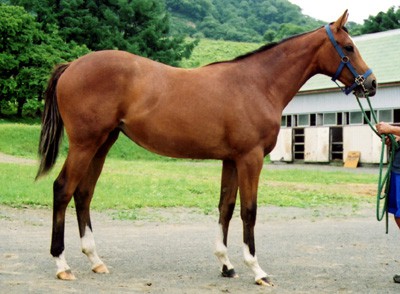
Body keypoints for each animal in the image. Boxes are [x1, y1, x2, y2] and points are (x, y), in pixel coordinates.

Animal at [36, 10, 376, 286]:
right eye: (348, 47)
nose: (370, 84)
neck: (257, 84)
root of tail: (72, 66)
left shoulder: (231, 160)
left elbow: (226, 207)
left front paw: (226, 265)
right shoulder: (250, 159)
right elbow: (249, 210)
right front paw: (257, 270)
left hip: (103, 143)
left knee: (84, 193)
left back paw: (95, 260)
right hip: (85, 143)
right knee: (63, 189)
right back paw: (62, 264)